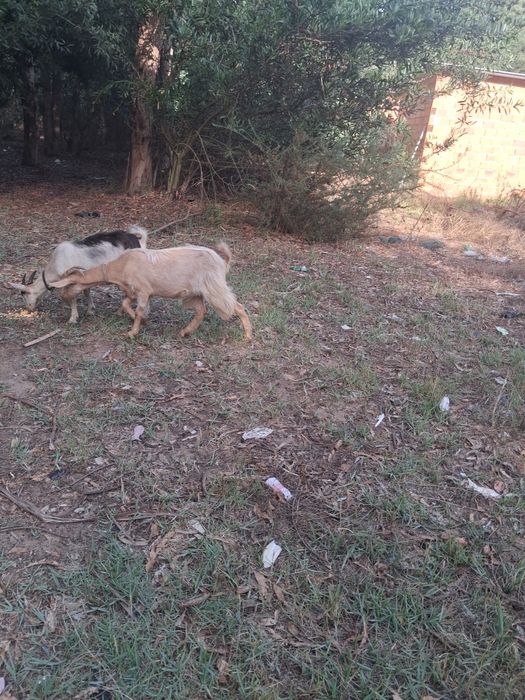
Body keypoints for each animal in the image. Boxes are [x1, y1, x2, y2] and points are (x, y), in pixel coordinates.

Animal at [8, 226, 148, 323]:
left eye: (24, 293)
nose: (29, 309)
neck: (55, 264)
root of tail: (138, 241)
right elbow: (86, 292)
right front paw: (90, 310)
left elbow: (72, 298)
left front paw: (72, 318)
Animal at [51, 242, 253, 340]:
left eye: (67, 285)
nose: (61, 296)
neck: (121, 267)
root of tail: (222, 261)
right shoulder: (132, 291)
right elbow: (125, 304)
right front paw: (142, 321)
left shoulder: (143, 291)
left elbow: (139, 310)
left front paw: (132, 332)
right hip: (195, 293)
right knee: (201, 311)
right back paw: (184, 332)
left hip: (214, 287)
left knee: (237, 306)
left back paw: (248, 336)